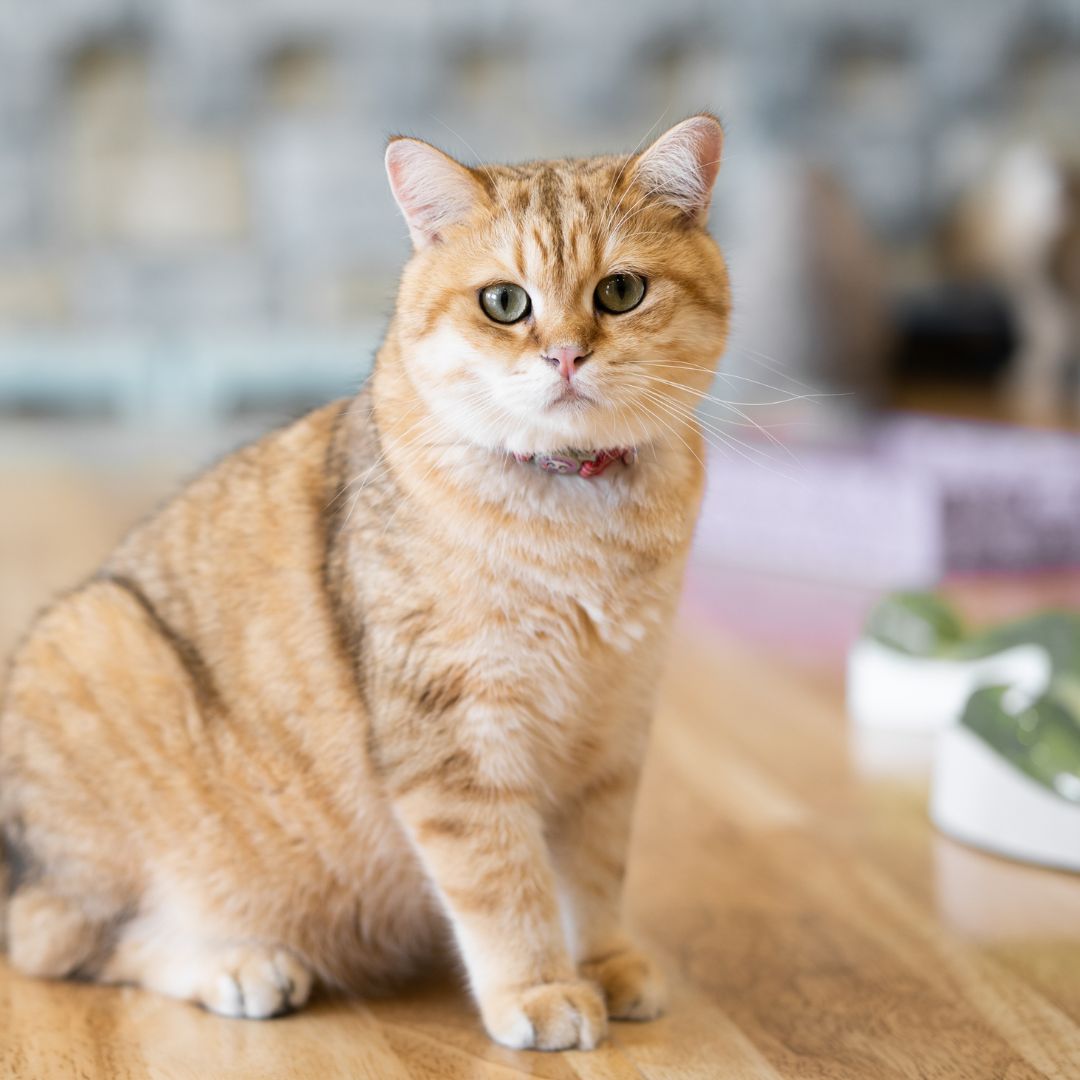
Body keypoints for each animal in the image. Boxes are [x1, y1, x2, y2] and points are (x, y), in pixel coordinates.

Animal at [0, 116, 730, 1045]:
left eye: (622, 291)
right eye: (505, 302)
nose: (567, 355)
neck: (576, 512)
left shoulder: (612, 735)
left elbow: (593, 877)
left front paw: (603, 965)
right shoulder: (454, 742)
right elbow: (505, 883)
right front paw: (540, 990)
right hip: (93, 647)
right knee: (71, 943)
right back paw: (240, 966)